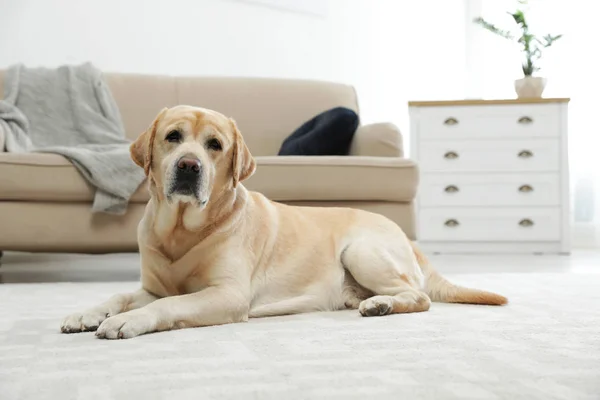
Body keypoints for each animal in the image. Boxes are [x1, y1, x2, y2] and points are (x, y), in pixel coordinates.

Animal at [61, 105, 504, 338]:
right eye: (173, 137)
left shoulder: (227, 295)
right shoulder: (150, 286)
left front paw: (128, 320)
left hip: (361, 251)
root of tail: (404, 235)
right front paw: (88, 312)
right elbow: (121, 294)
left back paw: (381, 305)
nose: (189, 166)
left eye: (214, 145)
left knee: (419, 296)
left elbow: (170, 303)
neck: (182, 230)